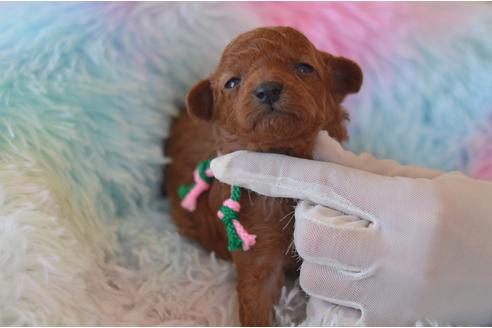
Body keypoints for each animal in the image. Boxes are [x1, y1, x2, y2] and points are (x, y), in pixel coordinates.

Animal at [165, 26, 362, 326]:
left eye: (304, 67)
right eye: (232, 82)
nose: (267, 89)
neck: (283, 156)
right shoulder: (257, 252)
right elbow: (256, 300)